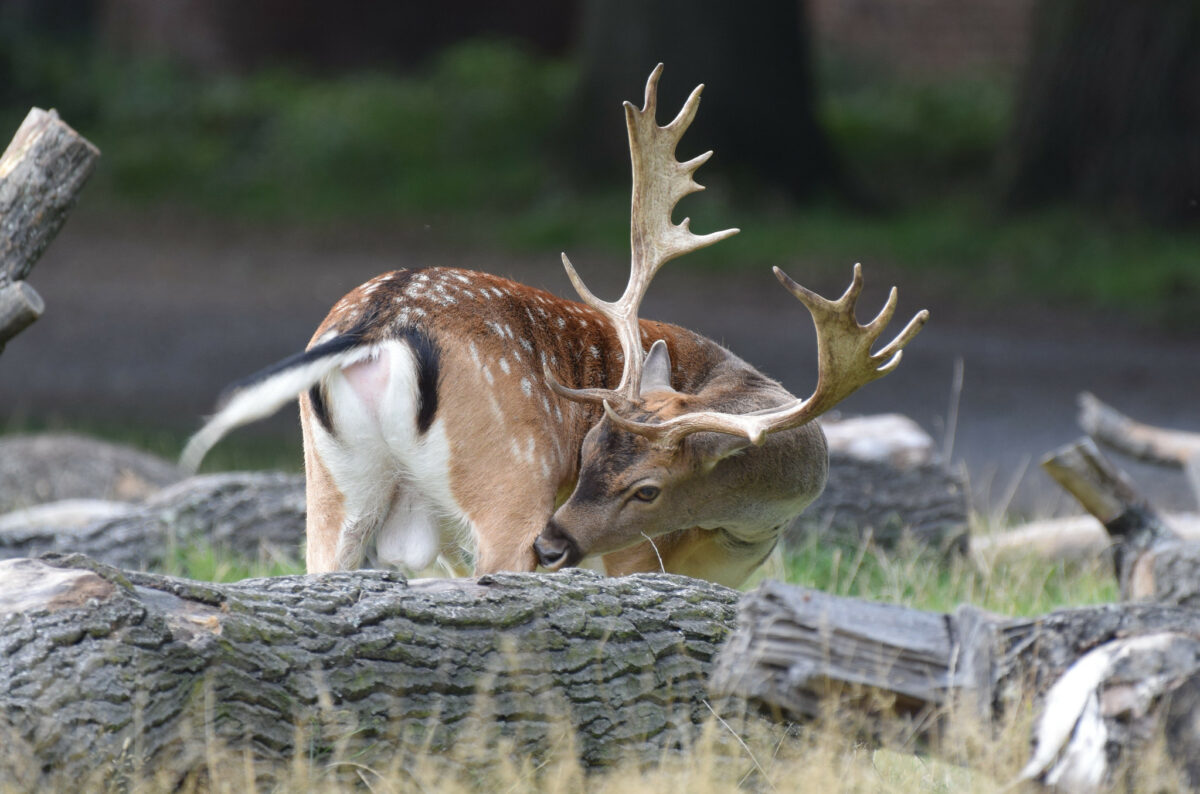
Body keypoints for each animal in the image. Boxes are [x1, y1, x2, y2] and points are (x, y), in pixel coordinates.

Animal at [182, 65, 928, 588]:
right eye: (588, 449)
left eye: (643, 484)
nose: (556, 545)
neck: (744, 530)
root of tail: (379, 322)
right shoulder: (639, 559)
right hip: (512, 476)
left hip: (333, 483)